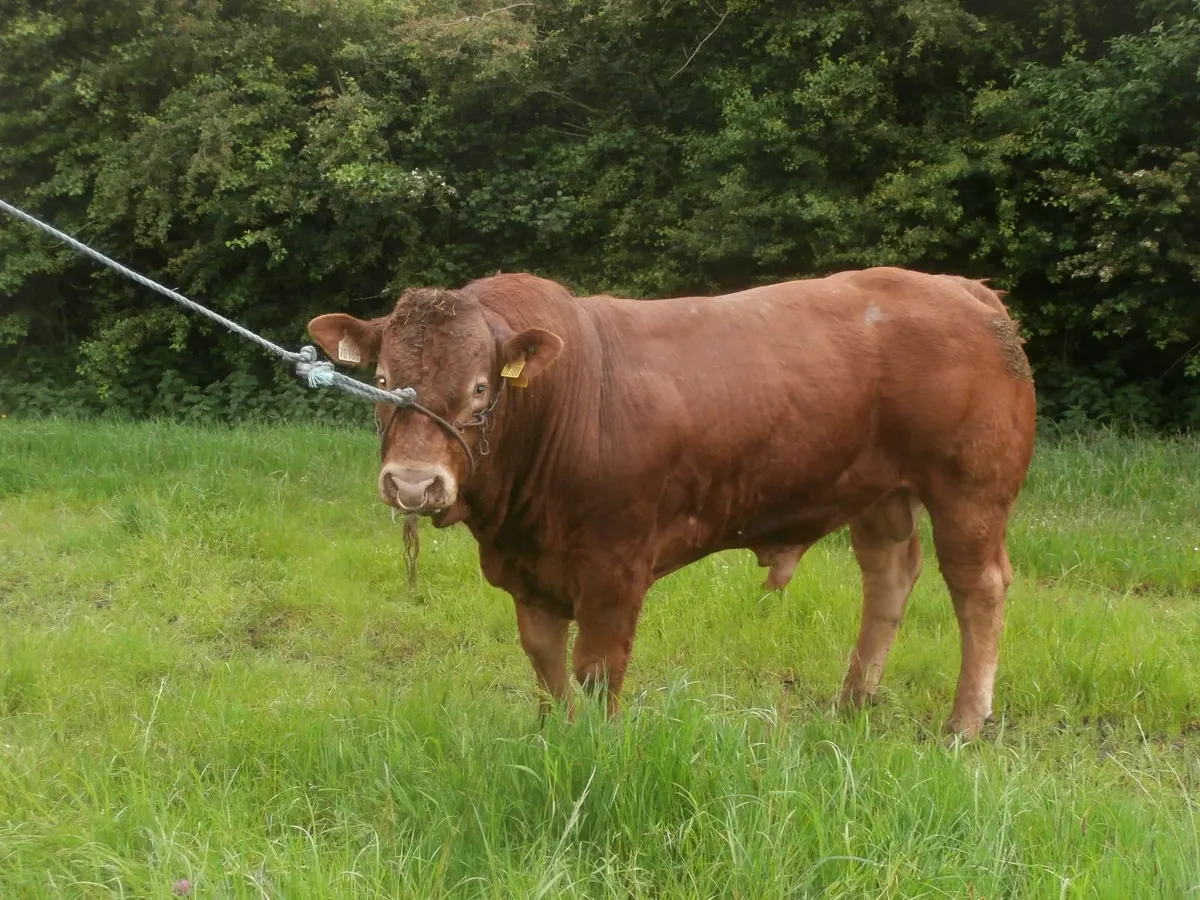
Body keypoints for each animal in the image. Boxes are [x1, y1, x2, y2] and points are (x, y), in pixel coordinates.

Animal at [306, 266, 1037, 739]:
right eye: (380, 380)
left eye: (481, 388)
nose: (412, 484)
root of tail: (960, 288)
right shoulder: (530, 572)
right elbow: (545, 663)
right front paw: (552, 735)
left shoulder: (614, 567)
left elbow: (597, 668)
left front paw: (595, 749)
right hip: (879, 491)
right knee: (889, 574)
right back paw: (853, 702)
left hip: (970, 488)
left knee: (979, 587)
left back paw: (965, 723)